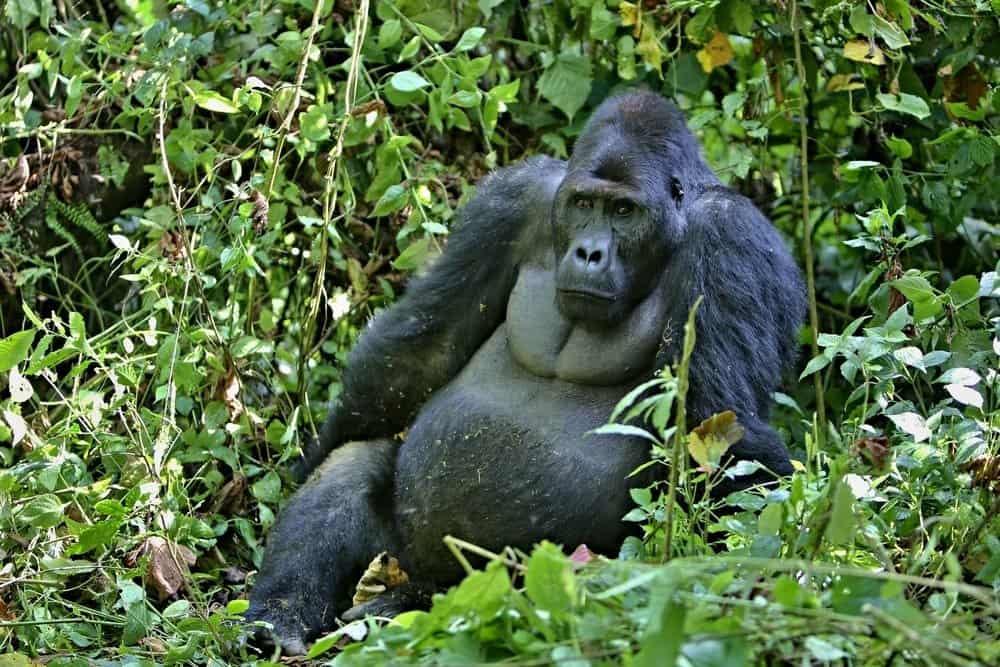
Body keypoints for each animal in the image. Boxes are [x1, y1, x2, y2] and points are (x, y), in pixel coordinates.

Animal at [244, 91, 804, 656]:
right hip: (399, 550)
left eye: (624, 211)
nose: (589, 253)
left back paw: (403, 603)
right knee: (353, 466)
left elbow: (716, 427)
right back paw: (280, 616)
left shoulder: (731, 240)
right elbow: (423, 350)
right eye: (584, 205)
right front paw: (308, 461)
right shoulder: (513, 200)